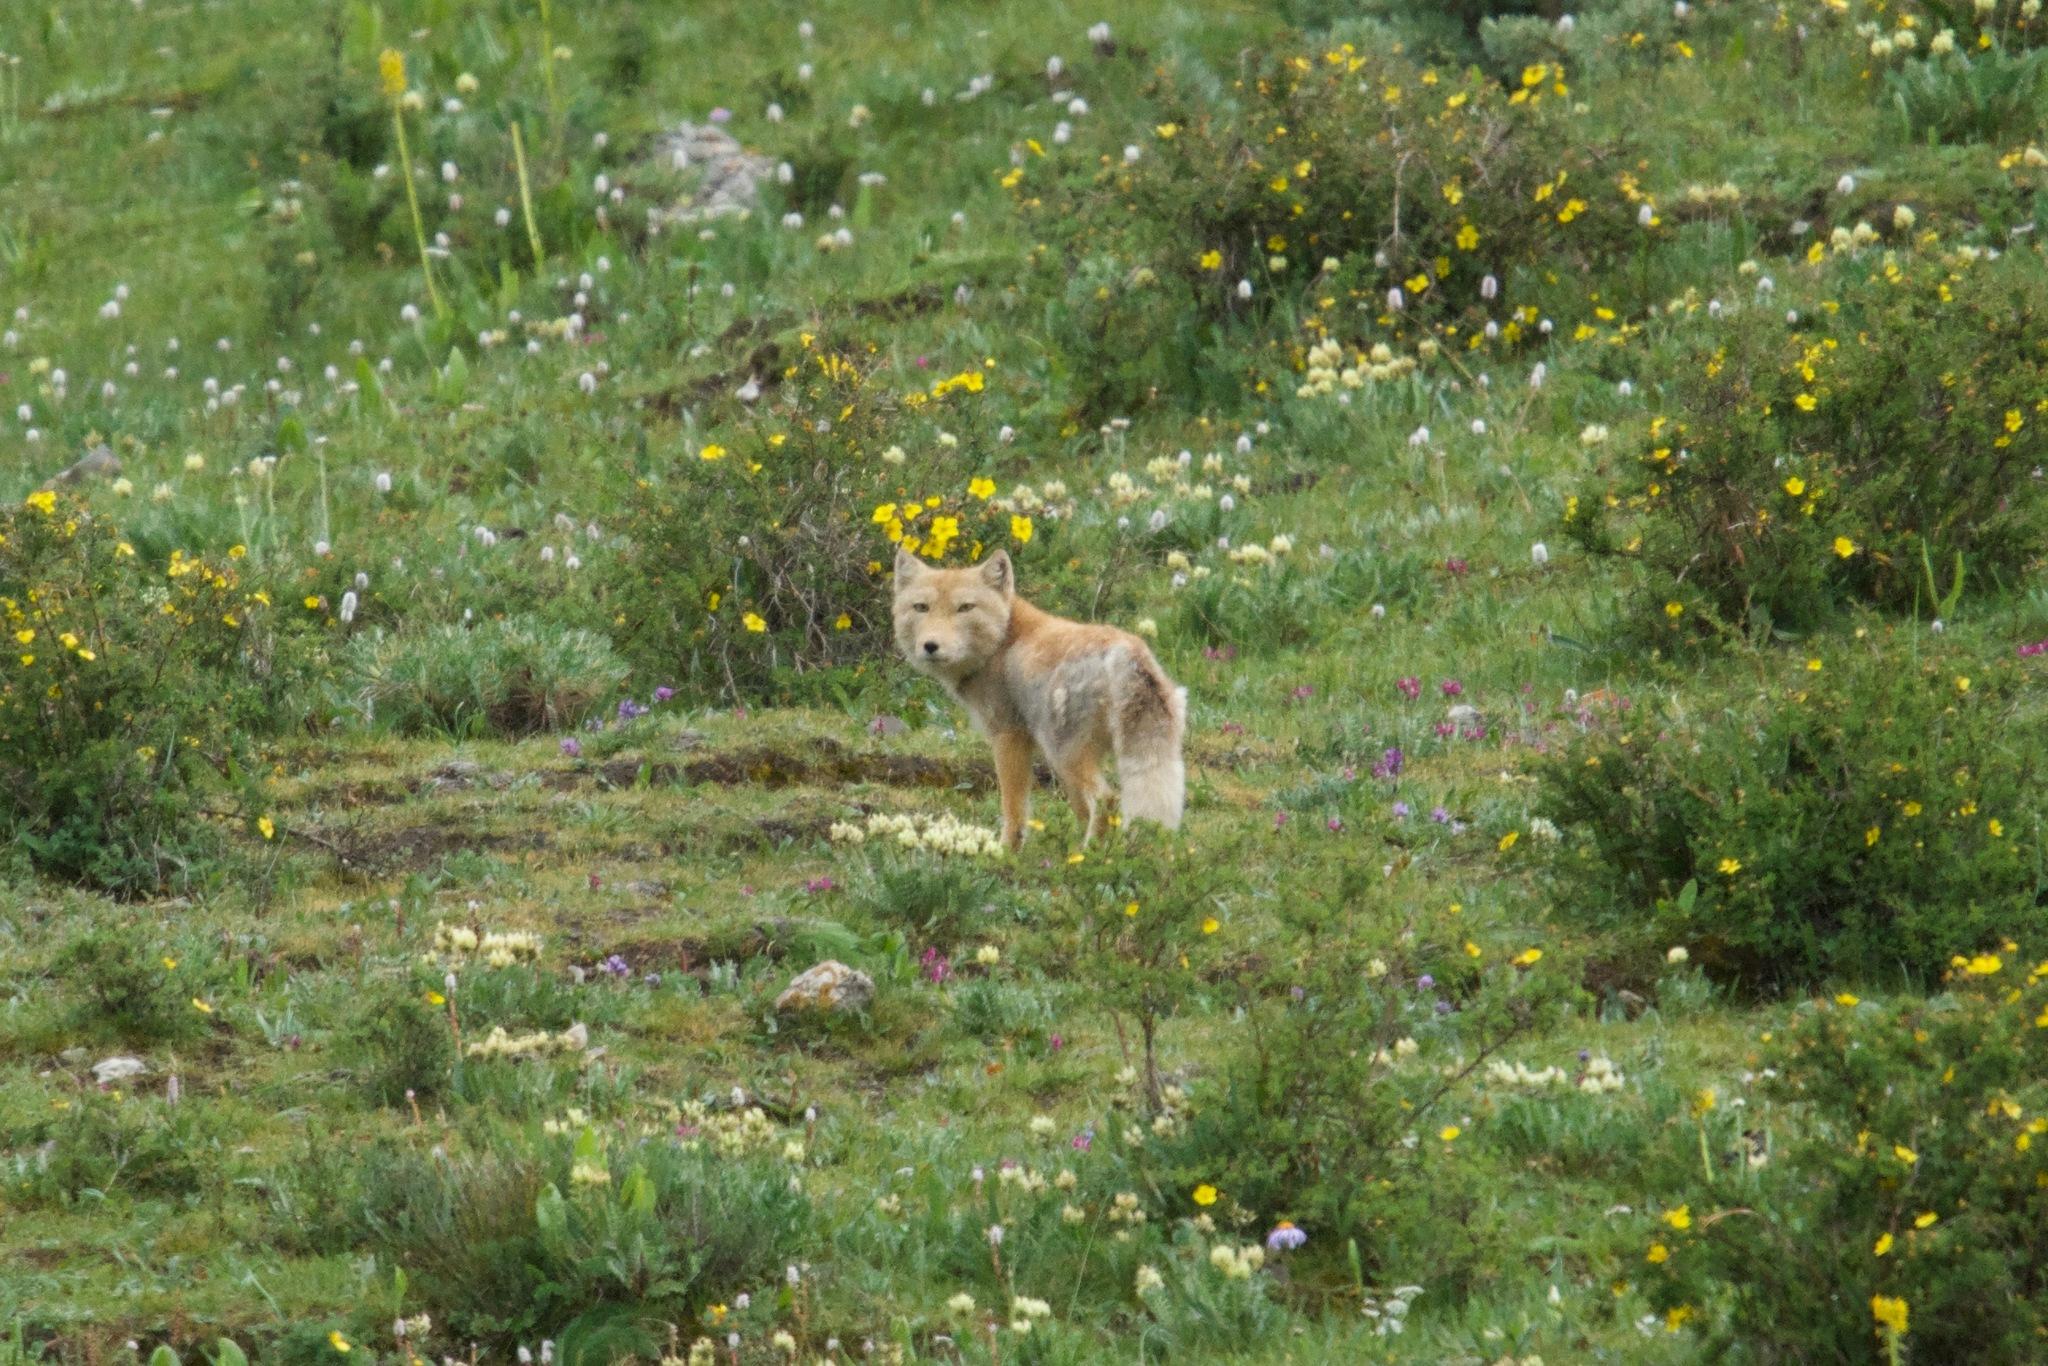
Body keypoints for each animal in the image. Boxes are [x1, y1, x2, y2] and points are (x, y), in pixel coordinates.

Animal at [892, 545, 1187, 852]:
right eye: (921, 607)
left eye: (965, 608)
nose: (930, 646)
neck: (1003, 640)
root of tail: (1127, 651)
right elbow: (1076, 810)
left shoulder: (1009, 737)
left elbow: (1014, 810)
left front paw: (1005, 852)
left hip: (1065, 754)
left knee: (1106, 799)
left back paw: (1089, 854)